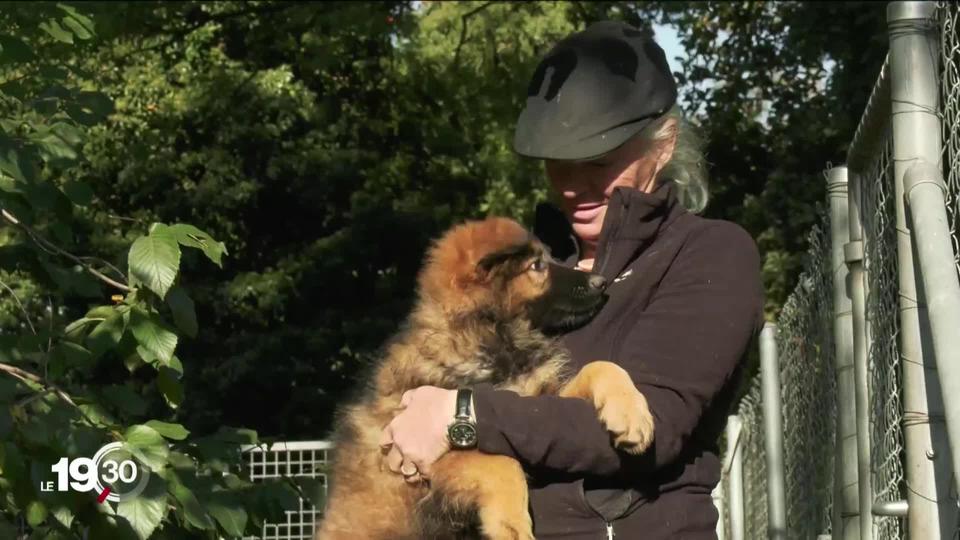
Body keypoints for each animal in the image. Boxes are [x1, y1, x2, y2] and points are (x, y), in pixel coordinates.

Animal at [316, 217, 652, 536]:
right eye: (537, 266)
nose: (602, 282)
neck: (490, 338)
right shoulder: (426, 455)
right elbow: (504, 463)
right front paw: (512, 525)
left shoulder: (535, 401)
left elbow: (599, 366)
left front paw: (632, 415)